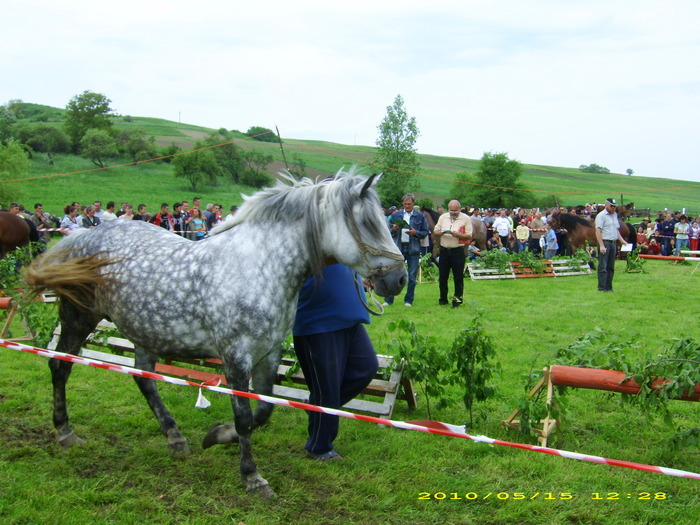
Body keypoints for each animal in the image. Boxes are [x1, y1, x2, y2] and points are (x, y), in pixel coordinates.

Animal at [26, 168, 404, 496]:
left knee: (144, 379)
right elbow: (245, 417)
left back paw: (175, 437)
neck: (259, 266)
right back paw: (65, 432)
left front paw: (217, 435)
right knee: (60, 366)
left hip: (145, 330)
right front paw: (252, 477)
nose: (398, 279)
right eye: (368, 223)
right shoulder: (235, 356)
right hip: (78, 318)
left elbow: (263, 411)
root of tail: (82, 236)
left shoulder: (268, 353)